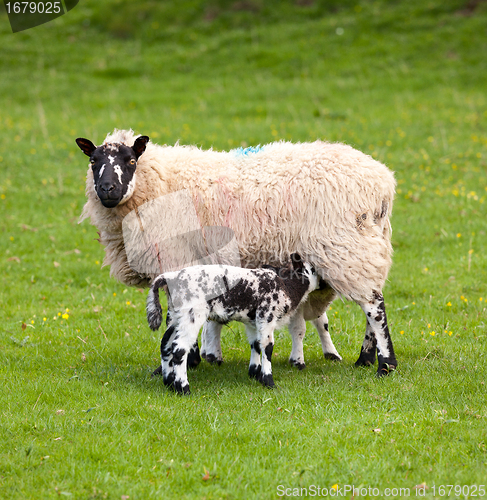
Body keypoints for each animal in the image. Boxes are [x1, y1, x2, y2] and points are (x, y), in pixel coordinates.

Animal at [75, 129, 396, 376]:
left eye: (131, 160)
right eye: (93, 161)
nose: (107, 189)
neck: (158, 182)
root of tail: (382, 181)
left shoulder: (176, 258)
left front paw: (186, 360)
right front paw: (200, 357)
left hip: (345, 246)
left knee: (373, 306)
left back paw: (385, 364)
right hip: (364, 247)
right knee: (371, 300)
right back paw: (365, 359)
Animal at [145, 254, 320, 394]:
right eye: (313, 269)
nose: (324, 282)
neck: (287, 287)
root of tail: (169, 277)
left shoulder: (252, 322)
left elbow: (256, 345)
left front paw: (255, 375)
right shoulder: (266, 317)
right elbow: (267, 347)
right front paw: (269, 382)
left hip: (176, 316)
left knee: (166, 345)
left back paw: (169, 383)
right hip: (192, 314)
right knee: (179, 349)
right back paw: (183, 389)